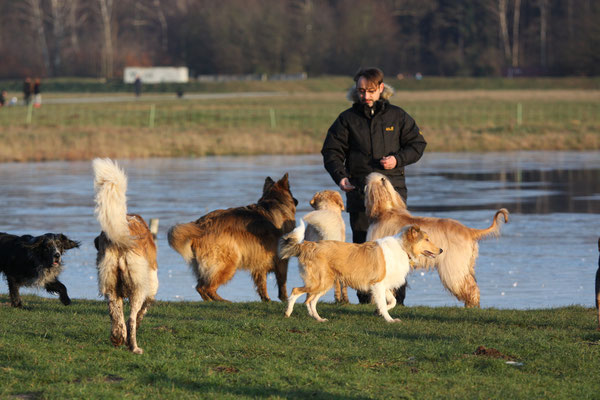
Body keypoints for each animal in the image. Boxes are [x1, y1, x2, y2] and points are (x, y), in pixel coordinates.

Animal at [92, 158, 158, 354]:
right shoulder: (151, 286)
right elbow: (142, 311)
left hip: (110, 283)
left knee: (116, 314)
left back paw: (117, 337)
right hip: (138, 287)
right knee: (131, 318)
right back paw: (134, 347)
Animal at [166, 173, 298, 302]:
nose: (297, 201)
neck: (275, 201)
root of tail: (201, 225)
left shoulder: (259, 261)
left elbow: (262, 283)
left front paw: (266, 299)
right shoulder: (282, 261)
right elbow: (282, 281)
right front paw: (285, 299)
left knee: (200, 288)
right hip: (228, 264)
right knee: (206, 288)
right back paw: (223, 301)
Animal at [280, 220, 440, 324]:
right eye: (426, 239)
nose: (441, 250)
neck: (403, 248)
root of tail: (308, 245)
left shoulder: (382, 284)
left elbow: (392, 301)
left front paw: (379, 312)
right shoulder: (377, 284)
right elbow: (384, 303)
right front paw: (389, 319)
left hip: (326, 283)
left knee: (310, 301)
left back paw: (318, 318)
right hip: (320, 282)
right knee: (296, 291)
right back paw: (287, 313)